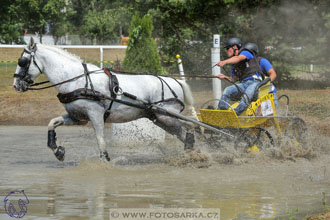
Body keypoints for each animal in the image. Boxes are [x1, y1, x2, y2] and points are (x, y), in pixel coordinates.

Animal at [12, 37, 197, 162]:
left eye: (22, 61)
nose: (15, 85)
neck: (77, 79)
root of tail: (176, 81)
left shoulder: (95, 115)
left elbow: (101, 141)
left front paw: (105, 162)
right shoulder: (77, 117)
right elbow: (52, 123)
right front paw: (58, 151)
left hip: (166, 115)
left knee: (190, 125)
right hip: (159, 118)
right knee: (183, 131)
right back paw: (192, 152)